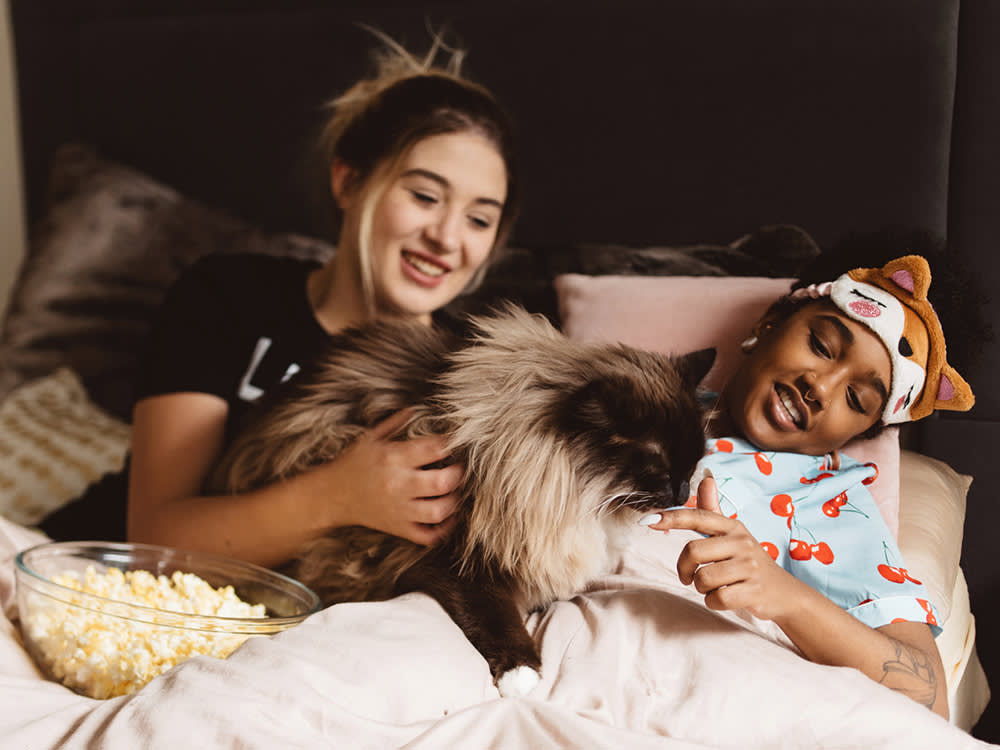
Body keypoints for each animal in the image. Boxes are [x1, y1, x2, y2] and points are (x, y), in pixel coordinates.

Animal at [209, 306, 712, 700]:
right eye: (658, 467)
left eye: (694, 462)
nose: (681, 493)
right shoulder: (456, 563)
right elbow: (498, 620)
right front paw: (522, 679)